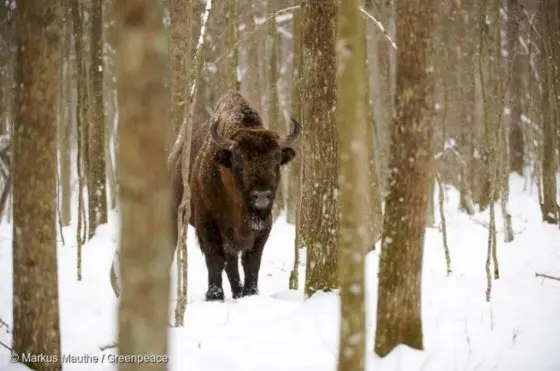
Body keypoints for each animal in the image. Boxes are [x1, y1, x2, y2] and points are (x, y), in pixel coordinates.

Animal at [173, 91, 302, 302]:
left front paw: (250, 293)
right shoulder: (207, 225)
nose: (261, 196)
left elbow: (251, 261)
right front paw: (214, 296)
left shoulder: (263, 229)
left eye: (276, 158)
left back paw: (238, 292)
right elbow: (215, 260)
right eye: (239, 159)